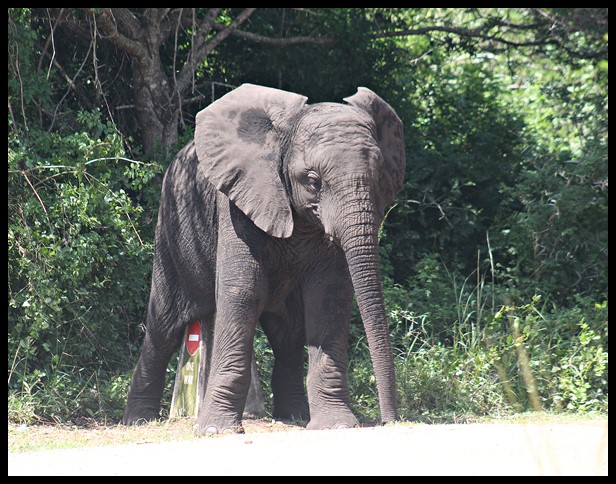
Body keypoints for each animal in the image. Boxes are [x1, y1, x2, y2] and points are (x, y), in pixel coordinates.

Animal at [122, 83, 406, 434]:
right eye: (313, 181)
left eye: (380, 179)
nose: (390, 420)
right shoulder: (238, 201)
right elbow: (243, 290)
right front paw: (217, 431)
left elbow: (329, 296)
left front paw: (335, 425)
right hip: (171, 229)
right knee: (163, 327)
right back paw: (138, 420)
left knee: (287, 334)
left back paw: (294, 416)